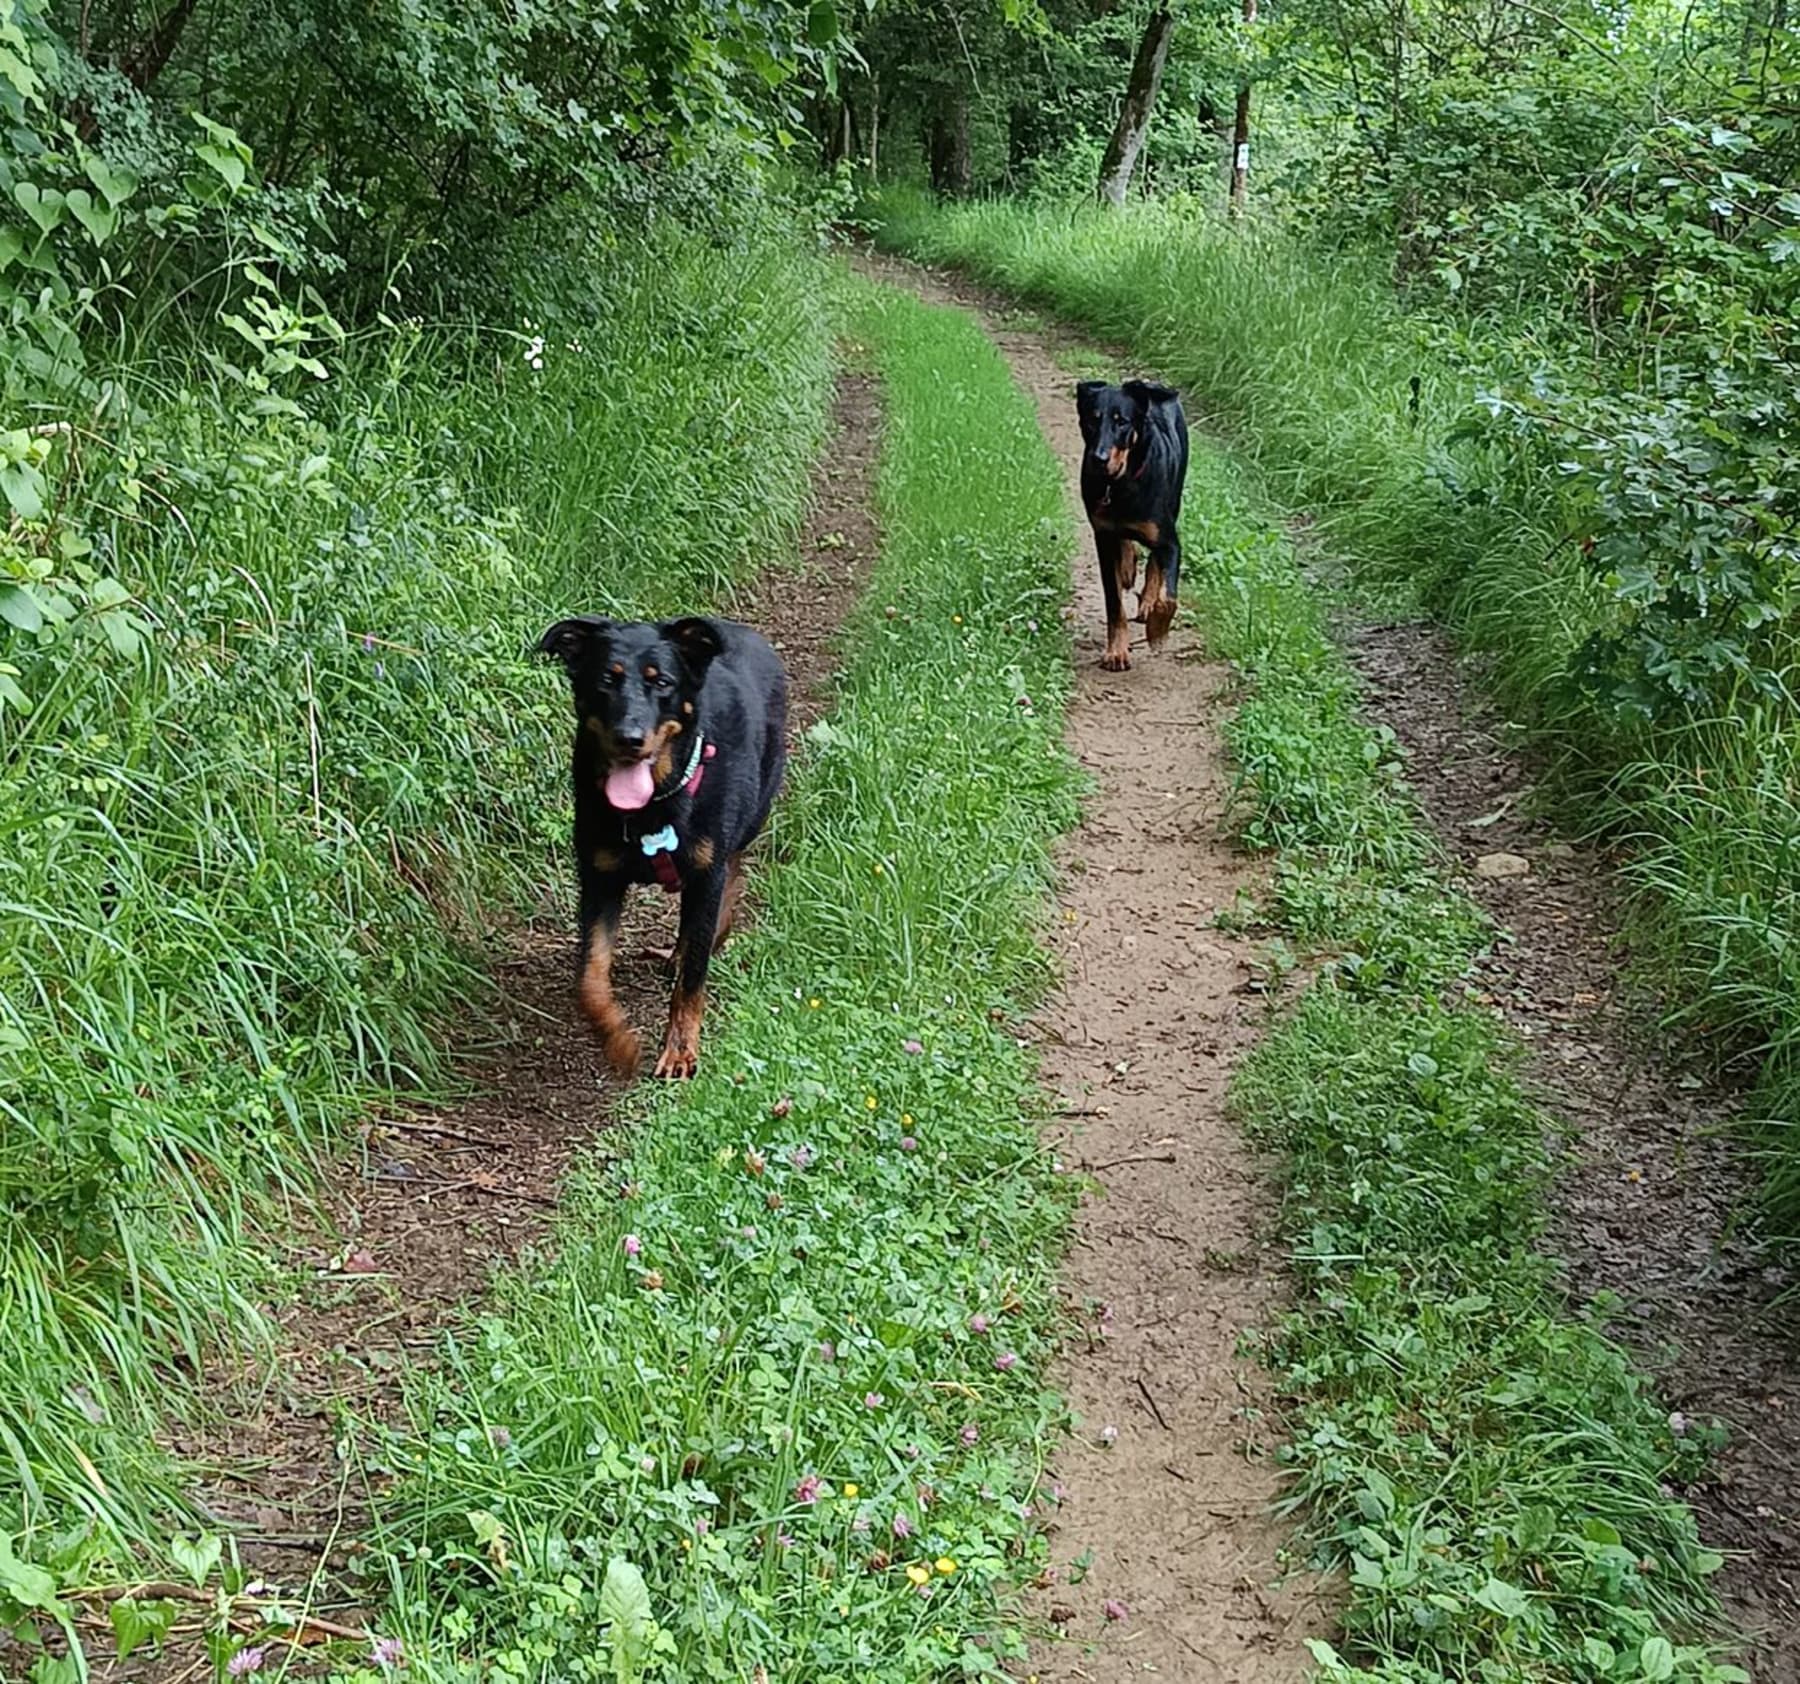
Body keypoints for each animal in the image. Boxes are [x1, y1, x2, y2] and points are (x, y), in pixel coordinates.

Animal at [532, 615, 788, 1079]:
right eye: (606, 679)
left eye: (662, 682)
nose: (629, 737)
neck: (651, 809)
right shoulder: (599, 878)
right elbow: (590, 977)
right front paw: (618, 1041)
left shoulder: (706, 873)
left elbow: (693, 977)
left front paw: (681, 1051)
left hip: (752, 813)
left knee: (733, 878)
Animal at [1072, 381, 1188, 669]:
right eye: (1092, 419)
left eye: (1121, 422)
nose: (1099, 458)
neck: (1120, 484)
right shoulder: (1102, 535)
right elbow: (1114, 601)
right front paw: (1116, 651)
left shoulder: (1169, 541)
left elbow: (1168, 597)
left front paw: (1157, 632)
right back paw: (1126, 567)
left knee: (1155, 562)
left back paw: (1147, 602)